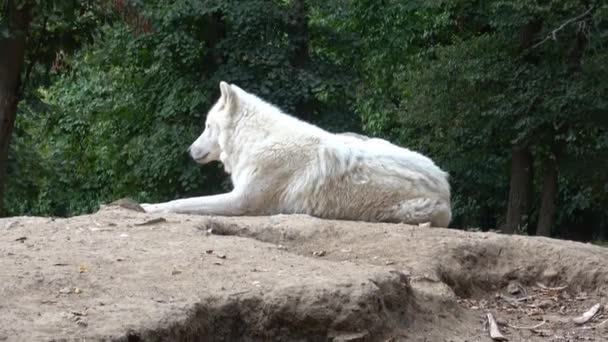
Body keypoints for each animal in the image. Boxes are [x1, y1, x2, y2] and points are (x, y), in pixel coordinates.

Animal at [139, 81, 452, 227]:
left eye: (207, 126)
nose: (189, 150)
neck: (256, 141)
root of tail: (444, 181)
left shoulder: (240, 201)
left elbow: (182, 202)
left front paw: (148, 207)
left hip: (408, 211)